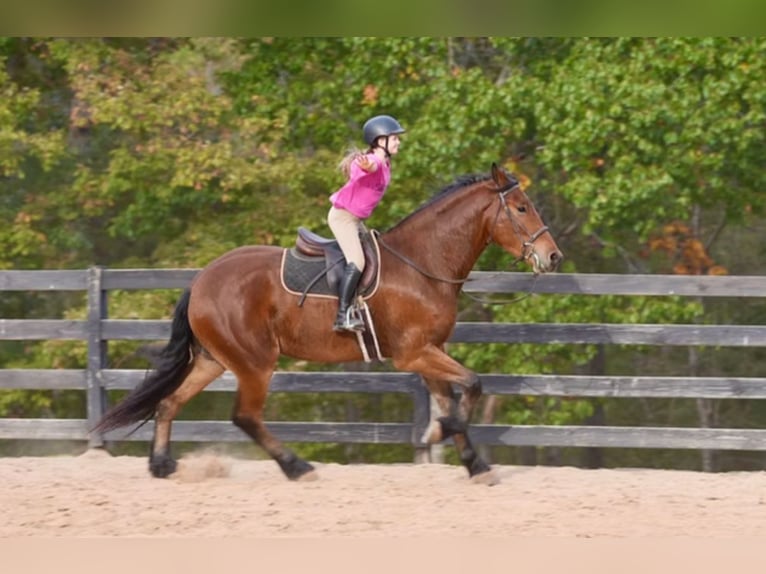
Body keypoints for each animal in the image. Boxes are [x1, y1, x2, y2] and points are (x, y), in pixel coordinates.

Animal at [93, 163, 562, 484]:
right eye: (522, 208)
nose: (553, 257)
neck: (423, 263)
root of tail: (202, 280)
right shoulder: (413, 354)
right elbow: (472, 386)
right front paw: (440, 437)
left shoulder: (431, 352)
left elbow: (454, 399)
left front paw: (472, 463)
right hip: (254, 363)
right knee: (245, 416)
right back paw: (297, 467)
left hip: (214, 359)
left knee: (169, 403)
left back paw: (161, 465)